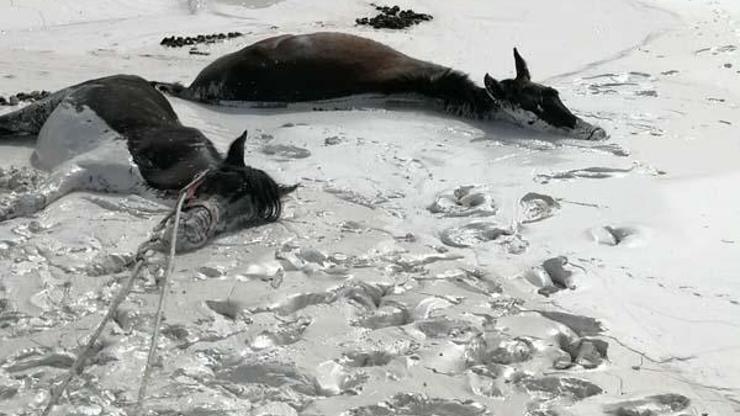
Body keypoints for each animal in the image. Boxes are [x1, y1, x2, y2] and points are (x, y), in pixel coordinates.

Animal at [0, 73, 294, 252]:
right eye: (224, 183)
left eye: (247, 219)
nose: (192, 232)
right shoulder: (79, 167)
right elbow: (32, 201)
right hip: (38, 111)